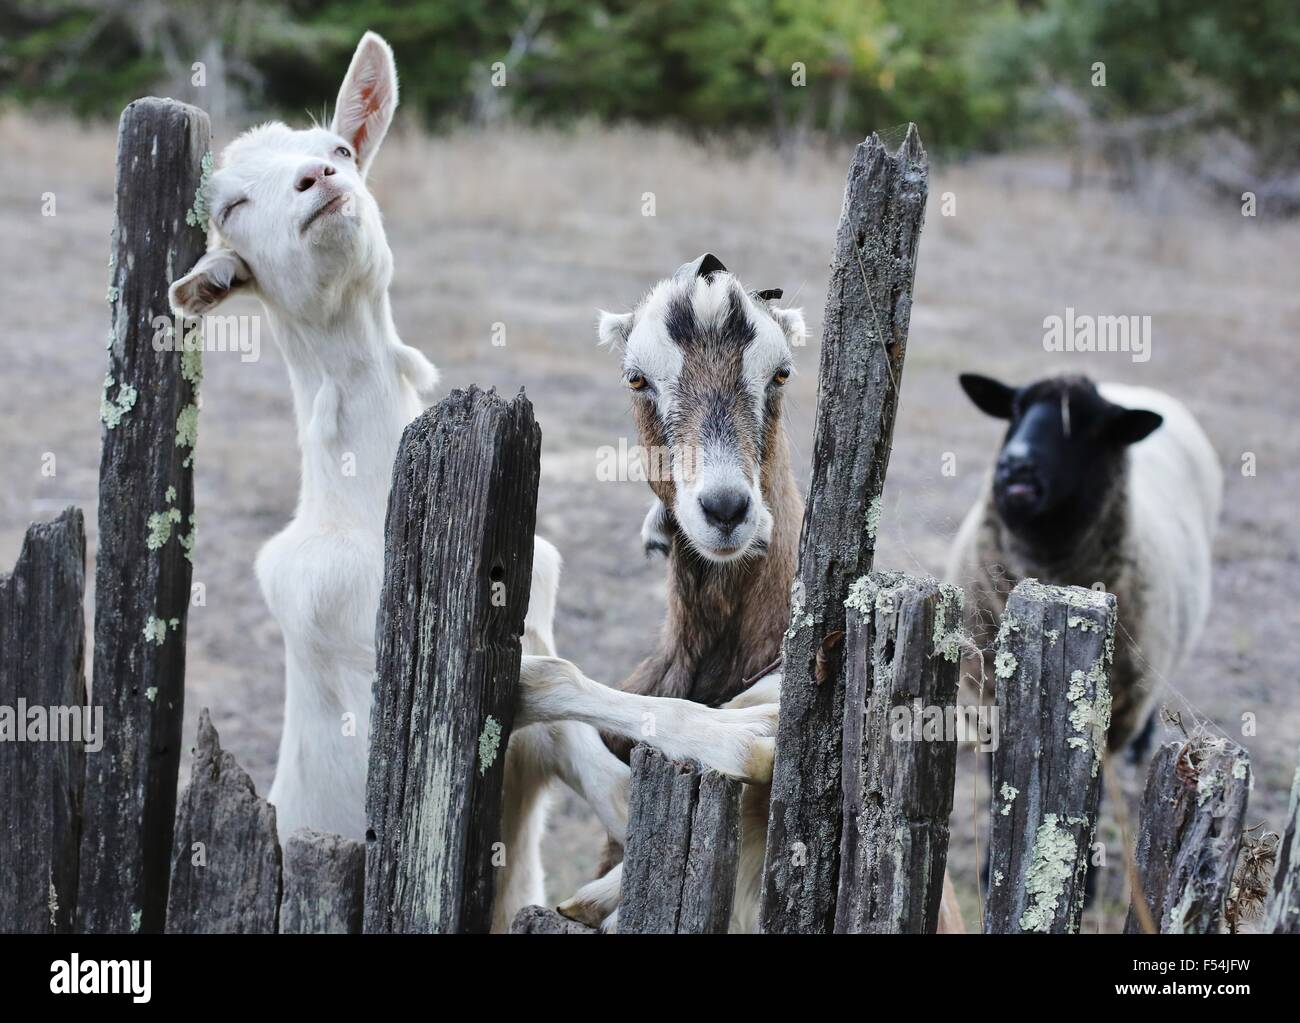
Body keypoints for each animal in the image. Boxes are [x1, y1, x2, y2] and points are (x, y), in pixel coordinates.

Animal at [168, 33, 778, 932]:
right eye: (235, 205)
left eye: (340, 149)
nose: (320, 183)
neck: (364, 502)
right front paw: (749, 738)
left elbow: (613, 776)